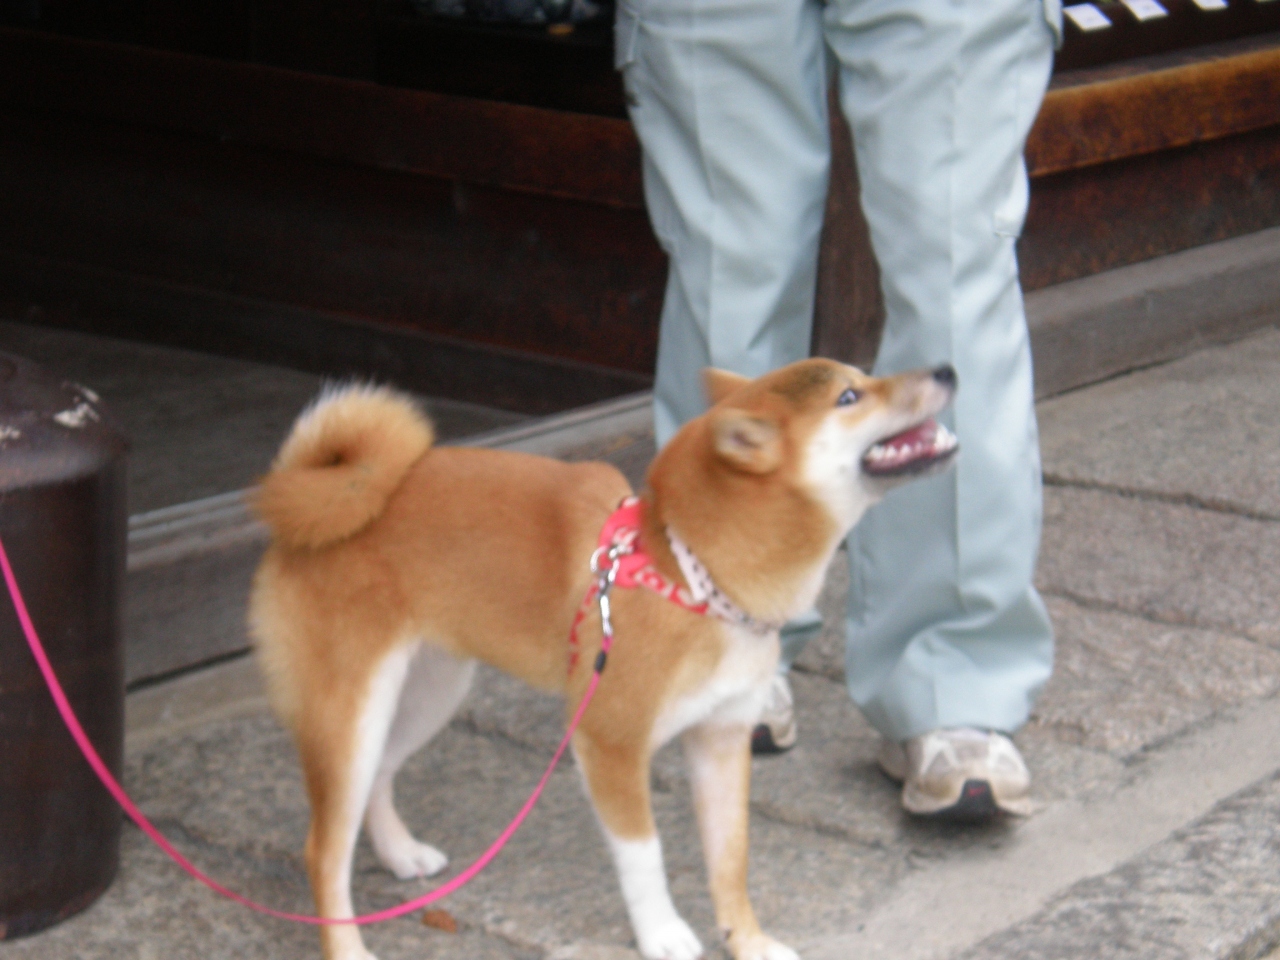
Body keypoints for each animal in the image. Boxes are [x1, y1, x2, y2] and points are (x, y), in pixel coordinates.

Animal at [249, 358, 957, 957]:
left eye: (862, 379)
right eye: (849, 397)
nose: (947, 368)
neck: (690, 574)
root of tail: (309, 500)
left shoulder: (723, 738)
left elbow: (731, 861)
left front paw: (749, 942)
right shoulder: (609, 740)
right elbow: (645, 854)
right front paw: (664, 933)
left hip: (428, 693)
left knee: (380, 778)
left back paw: (399, 853)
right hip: (352, 714)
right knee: (322, 850)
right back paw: (347, 944)